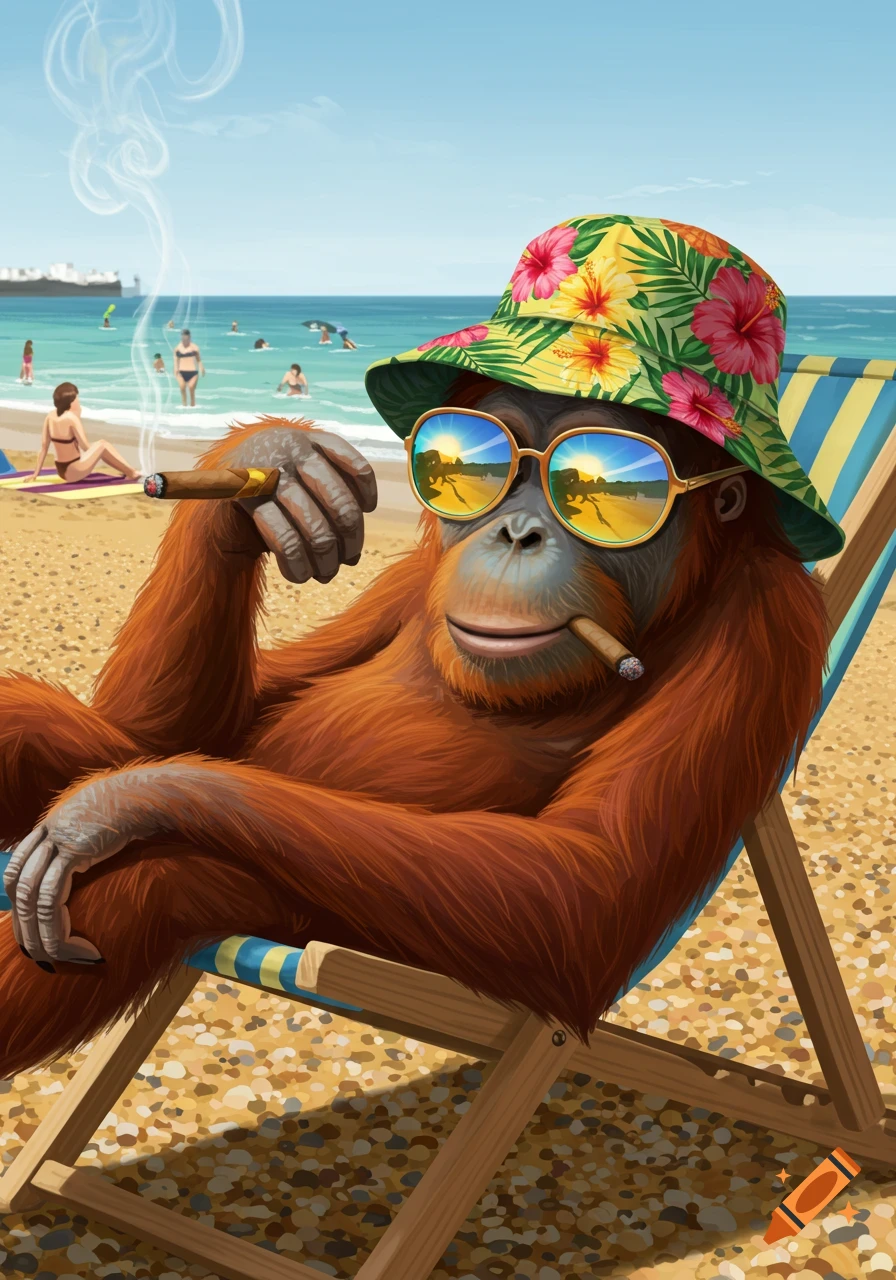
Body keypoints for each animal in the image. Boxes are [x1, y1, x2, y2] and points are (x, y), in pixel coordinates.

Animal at [0, 378, 829, 1080]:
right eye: (488, 461)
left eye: (607, 485)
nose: (516, 531)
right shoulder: (415, 574)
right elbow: (182, 730)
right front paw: (276, 462)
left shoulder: (762, 626)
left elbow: (586, 890)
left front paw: (110, 809)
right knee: (49, 729)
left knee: (155, 883)